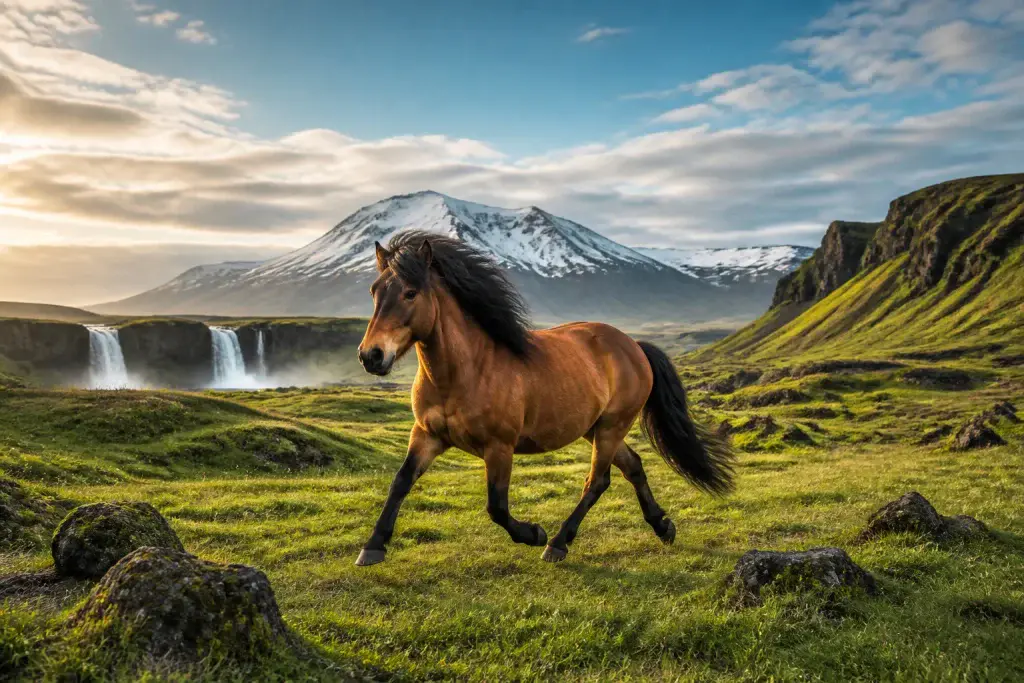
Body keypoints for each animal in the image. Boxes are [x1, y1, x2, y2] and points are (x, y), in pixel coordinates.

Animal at [355, 231, 734, 565]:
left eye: (410, 293)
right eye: (374, 291)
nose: (371, 356)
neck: (465, 372)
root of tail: (634, 345)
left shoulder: (499, 446)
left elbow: (497, 507)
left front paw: (533, 533)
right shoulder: (427, 435)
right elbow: (400, 482)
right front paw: (372, 547)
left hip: (612, 426)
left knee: (597, 481)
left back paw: (558, 543)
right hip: (596, 428)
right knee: (633, 467)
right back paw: (662, 526)